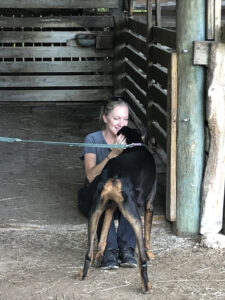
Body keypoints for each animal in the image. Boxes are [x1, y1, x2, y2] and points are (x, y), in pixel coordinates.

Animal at [77, 126, 156, 292]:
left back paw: (85, 272)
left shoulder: (110, 207)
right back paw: (146, 285)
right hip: (134, 215)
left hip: (95, 211)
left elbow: (104, 235)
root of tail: (115, 174)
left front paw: (101, 256)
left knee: (88, 252)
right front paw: (150, 253)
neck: (135, 144)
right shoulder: (149, 204)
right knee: (142, 259)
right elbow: (148, 235)